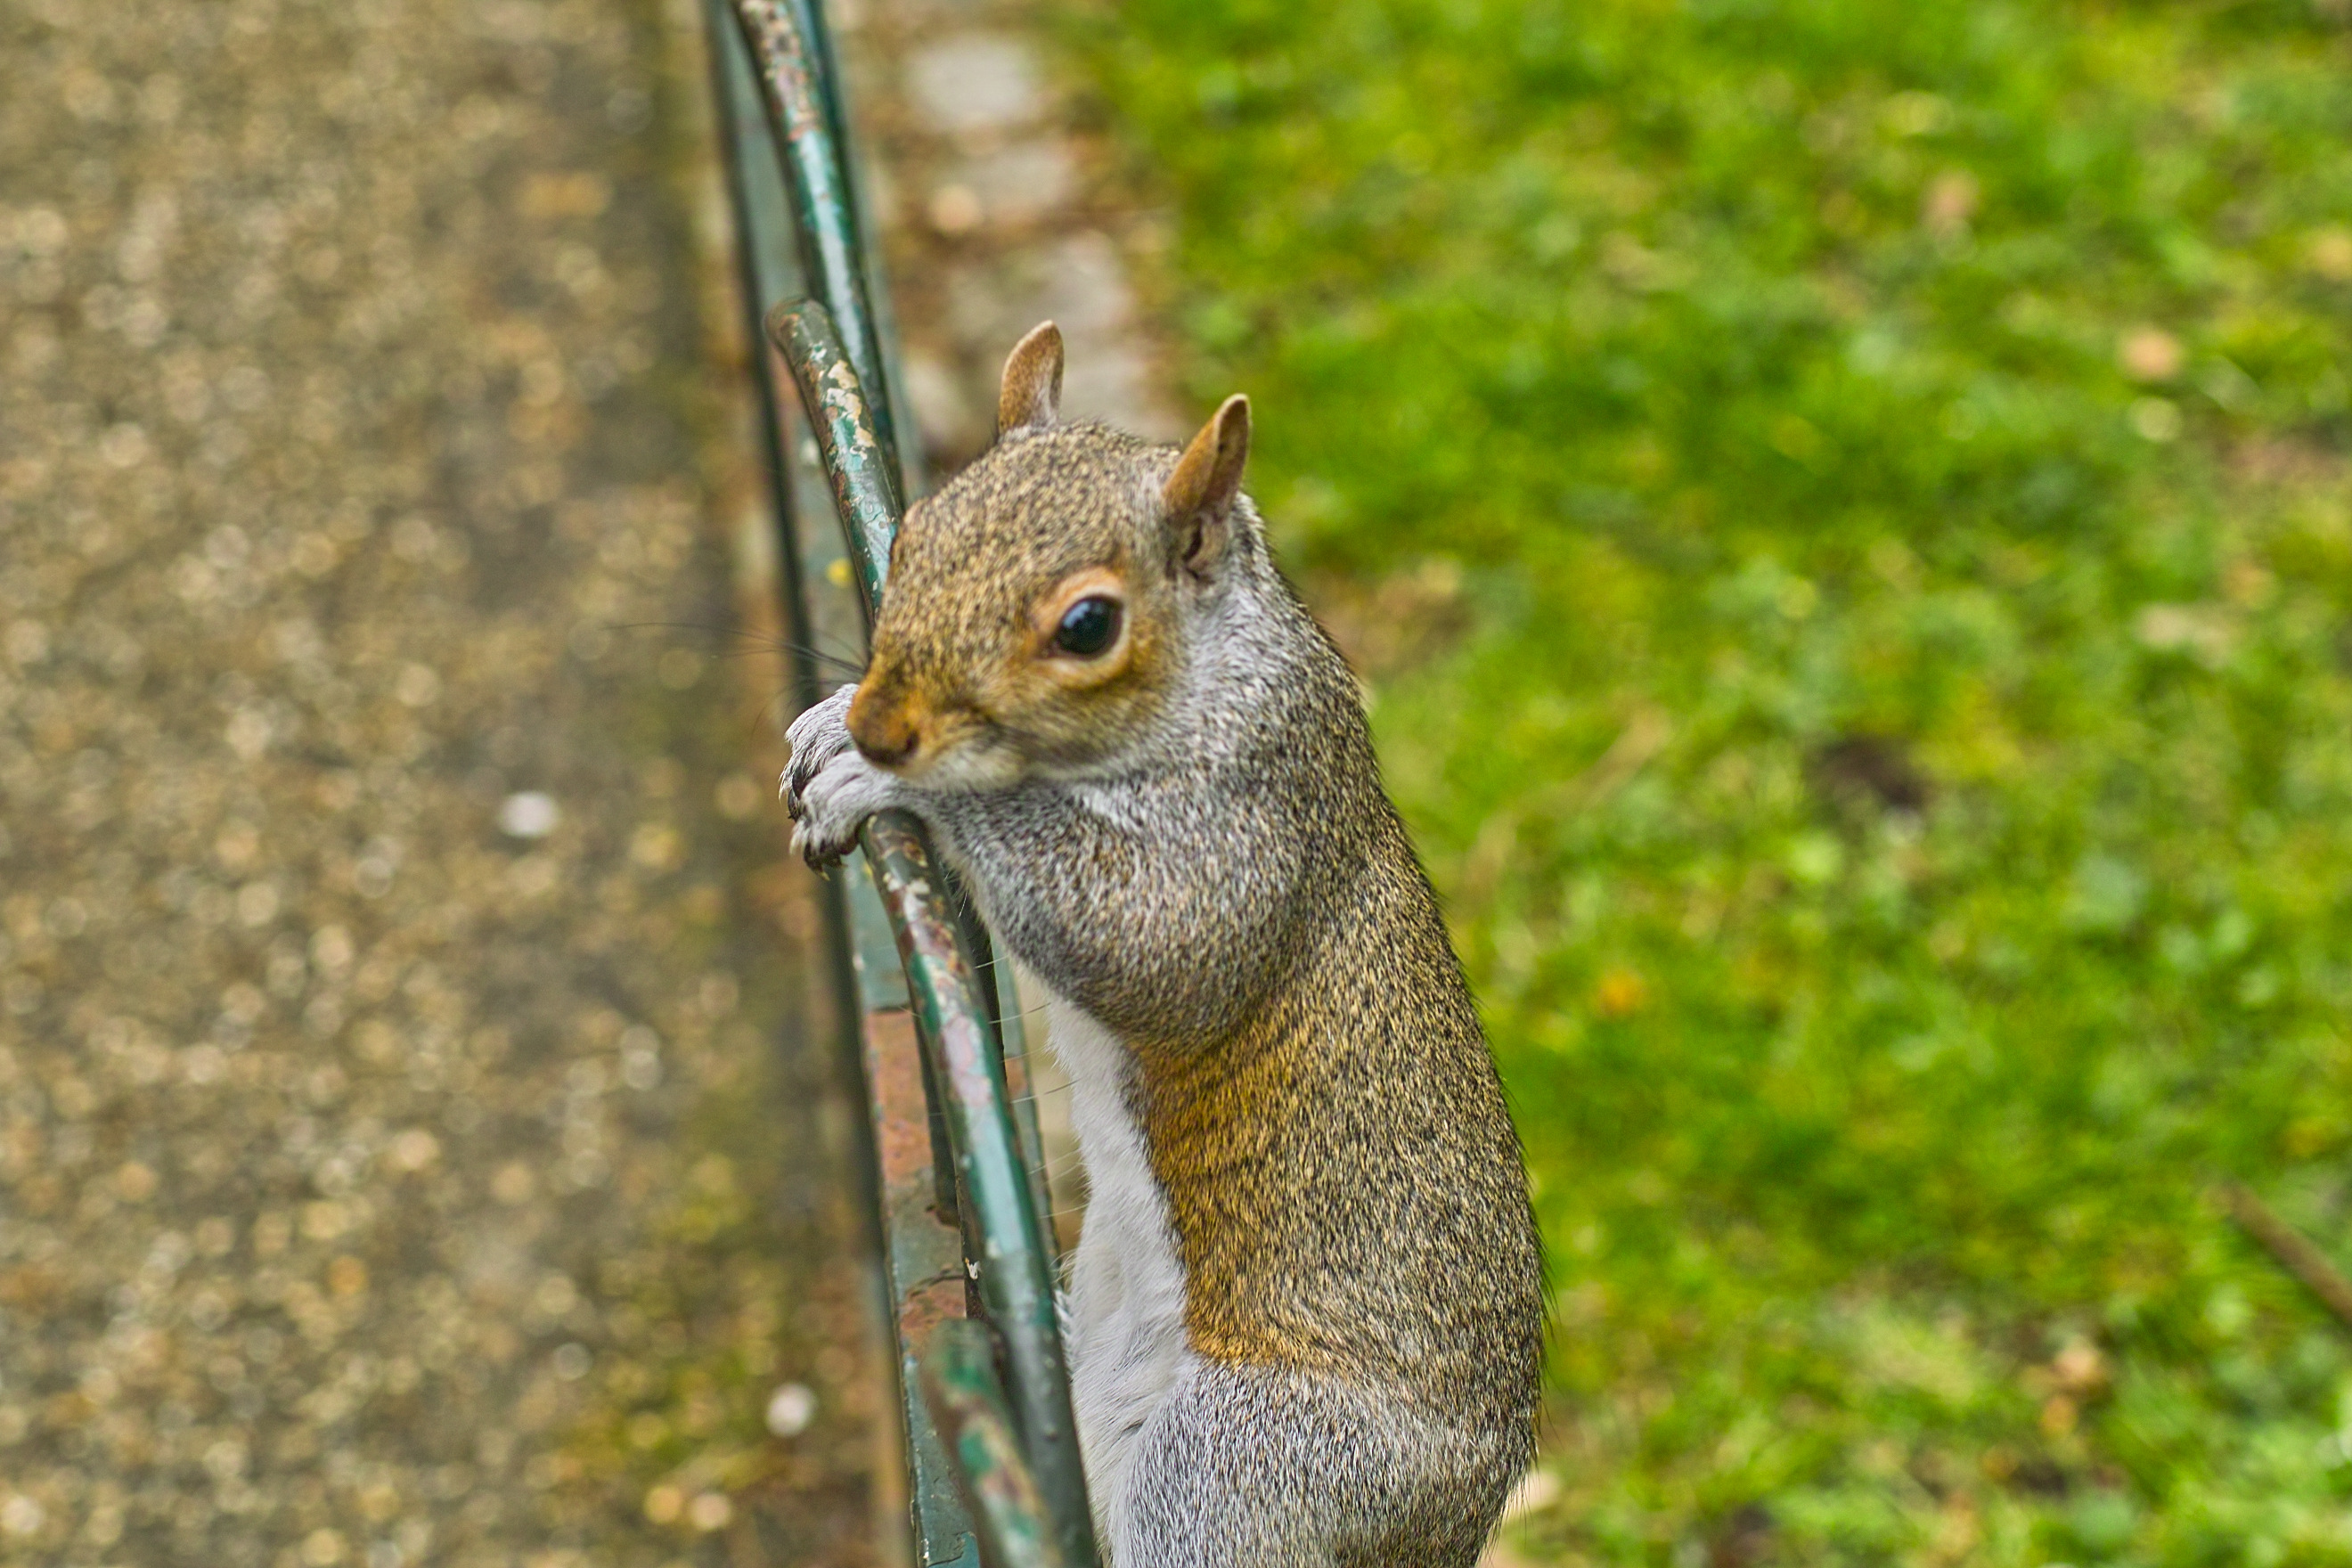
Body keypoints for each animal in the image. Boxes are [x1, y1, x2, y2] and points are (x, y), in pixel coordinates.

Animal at [784, 322, 1544, 1565]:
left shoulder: (1251, 825)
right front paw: (833, 718)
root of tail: (1454, 1524)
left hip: (1242, 1467)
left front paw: (888, 776)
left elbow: (1150, 944)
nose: (883, 723)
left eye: (1088, 625)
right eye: (916, 533)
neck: (1212, 674)